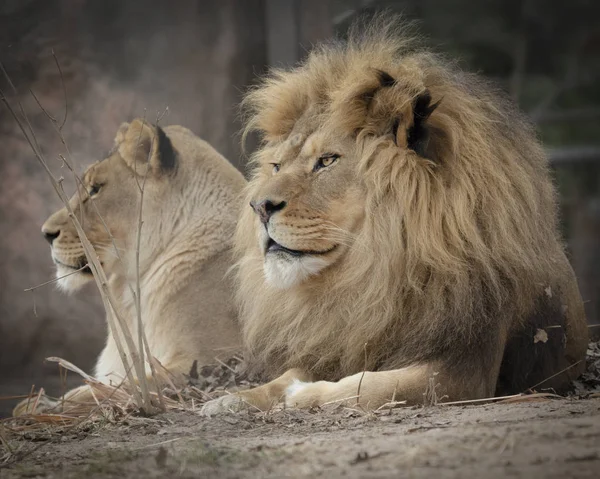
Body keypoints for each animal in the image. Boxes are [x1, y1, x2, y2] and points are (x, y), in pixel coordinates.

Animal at [200, 19, 584, 416]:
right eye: (276, 166)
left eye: (327, 161)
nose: (259, 207)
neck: (378, 271)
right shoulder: (341, 338)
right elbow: (292, 373)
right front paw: (232, 399)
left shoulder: (465, 373)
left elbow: (370, 386)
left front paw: (301, 394)